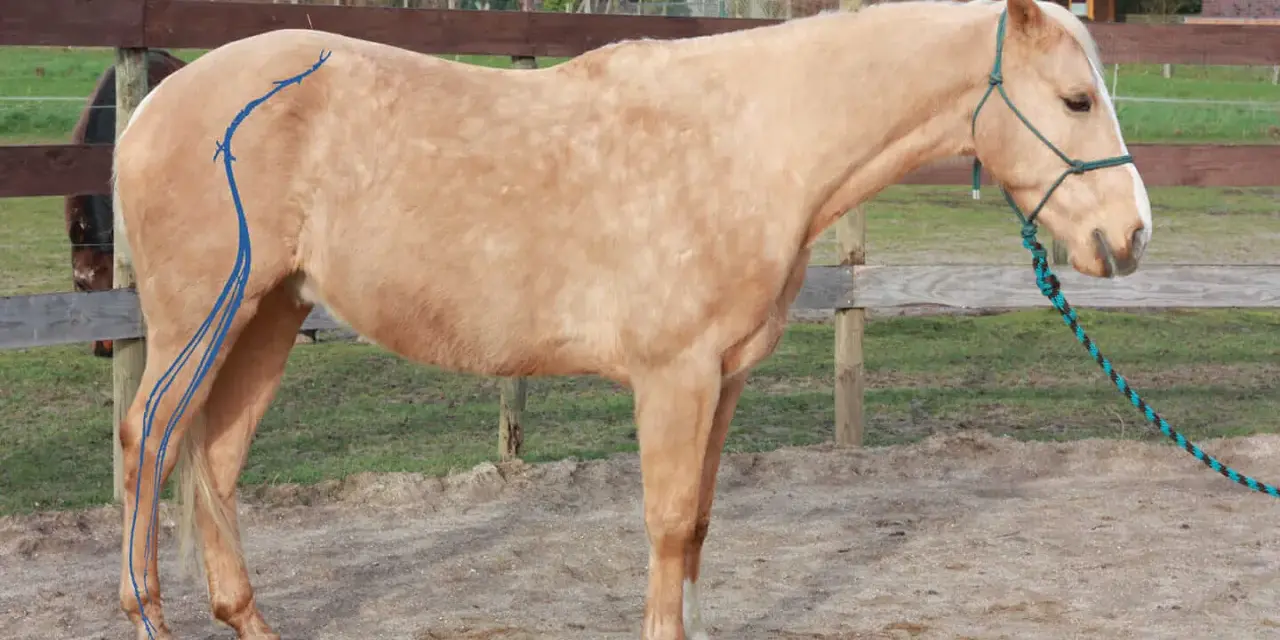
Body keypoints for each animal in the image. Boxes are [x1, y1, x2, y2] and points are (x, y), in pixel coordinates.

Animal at [109, 0, 1151, 637]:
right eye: (1075, 98)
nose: (1130, 234)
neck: (748, 142)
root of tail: (157, 105)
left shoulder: (725, 377)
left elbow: (699, 523)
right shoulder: (674, 377)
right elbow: (666, 520)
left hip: (269, 316)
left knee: (215, 464)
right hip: (199, 322)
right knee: (147, 443)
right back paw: (146, 612)